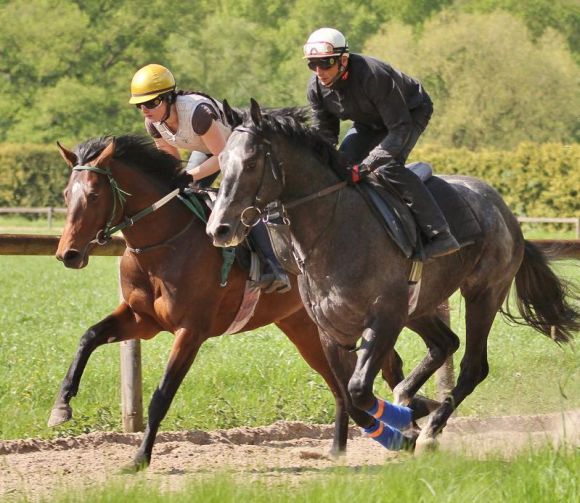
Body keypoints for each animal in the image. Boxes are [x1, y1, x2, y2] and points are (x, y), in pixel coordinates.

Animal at [206, 100, 576, 454]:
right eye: (221, 159)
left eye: (251, 162)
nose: (219, 228)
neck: (332, 233)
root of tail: (504, 211)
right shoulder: (331, 331)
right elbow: (349, 398)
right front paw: (402, 423)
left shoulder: (383, 319)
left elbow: (358, 390)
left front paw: (406, 425)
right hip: (419, 305)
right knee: (445, 344)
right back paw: (410, 398)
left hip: (483, 294)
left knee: (473, 366)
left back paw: (429, 429)